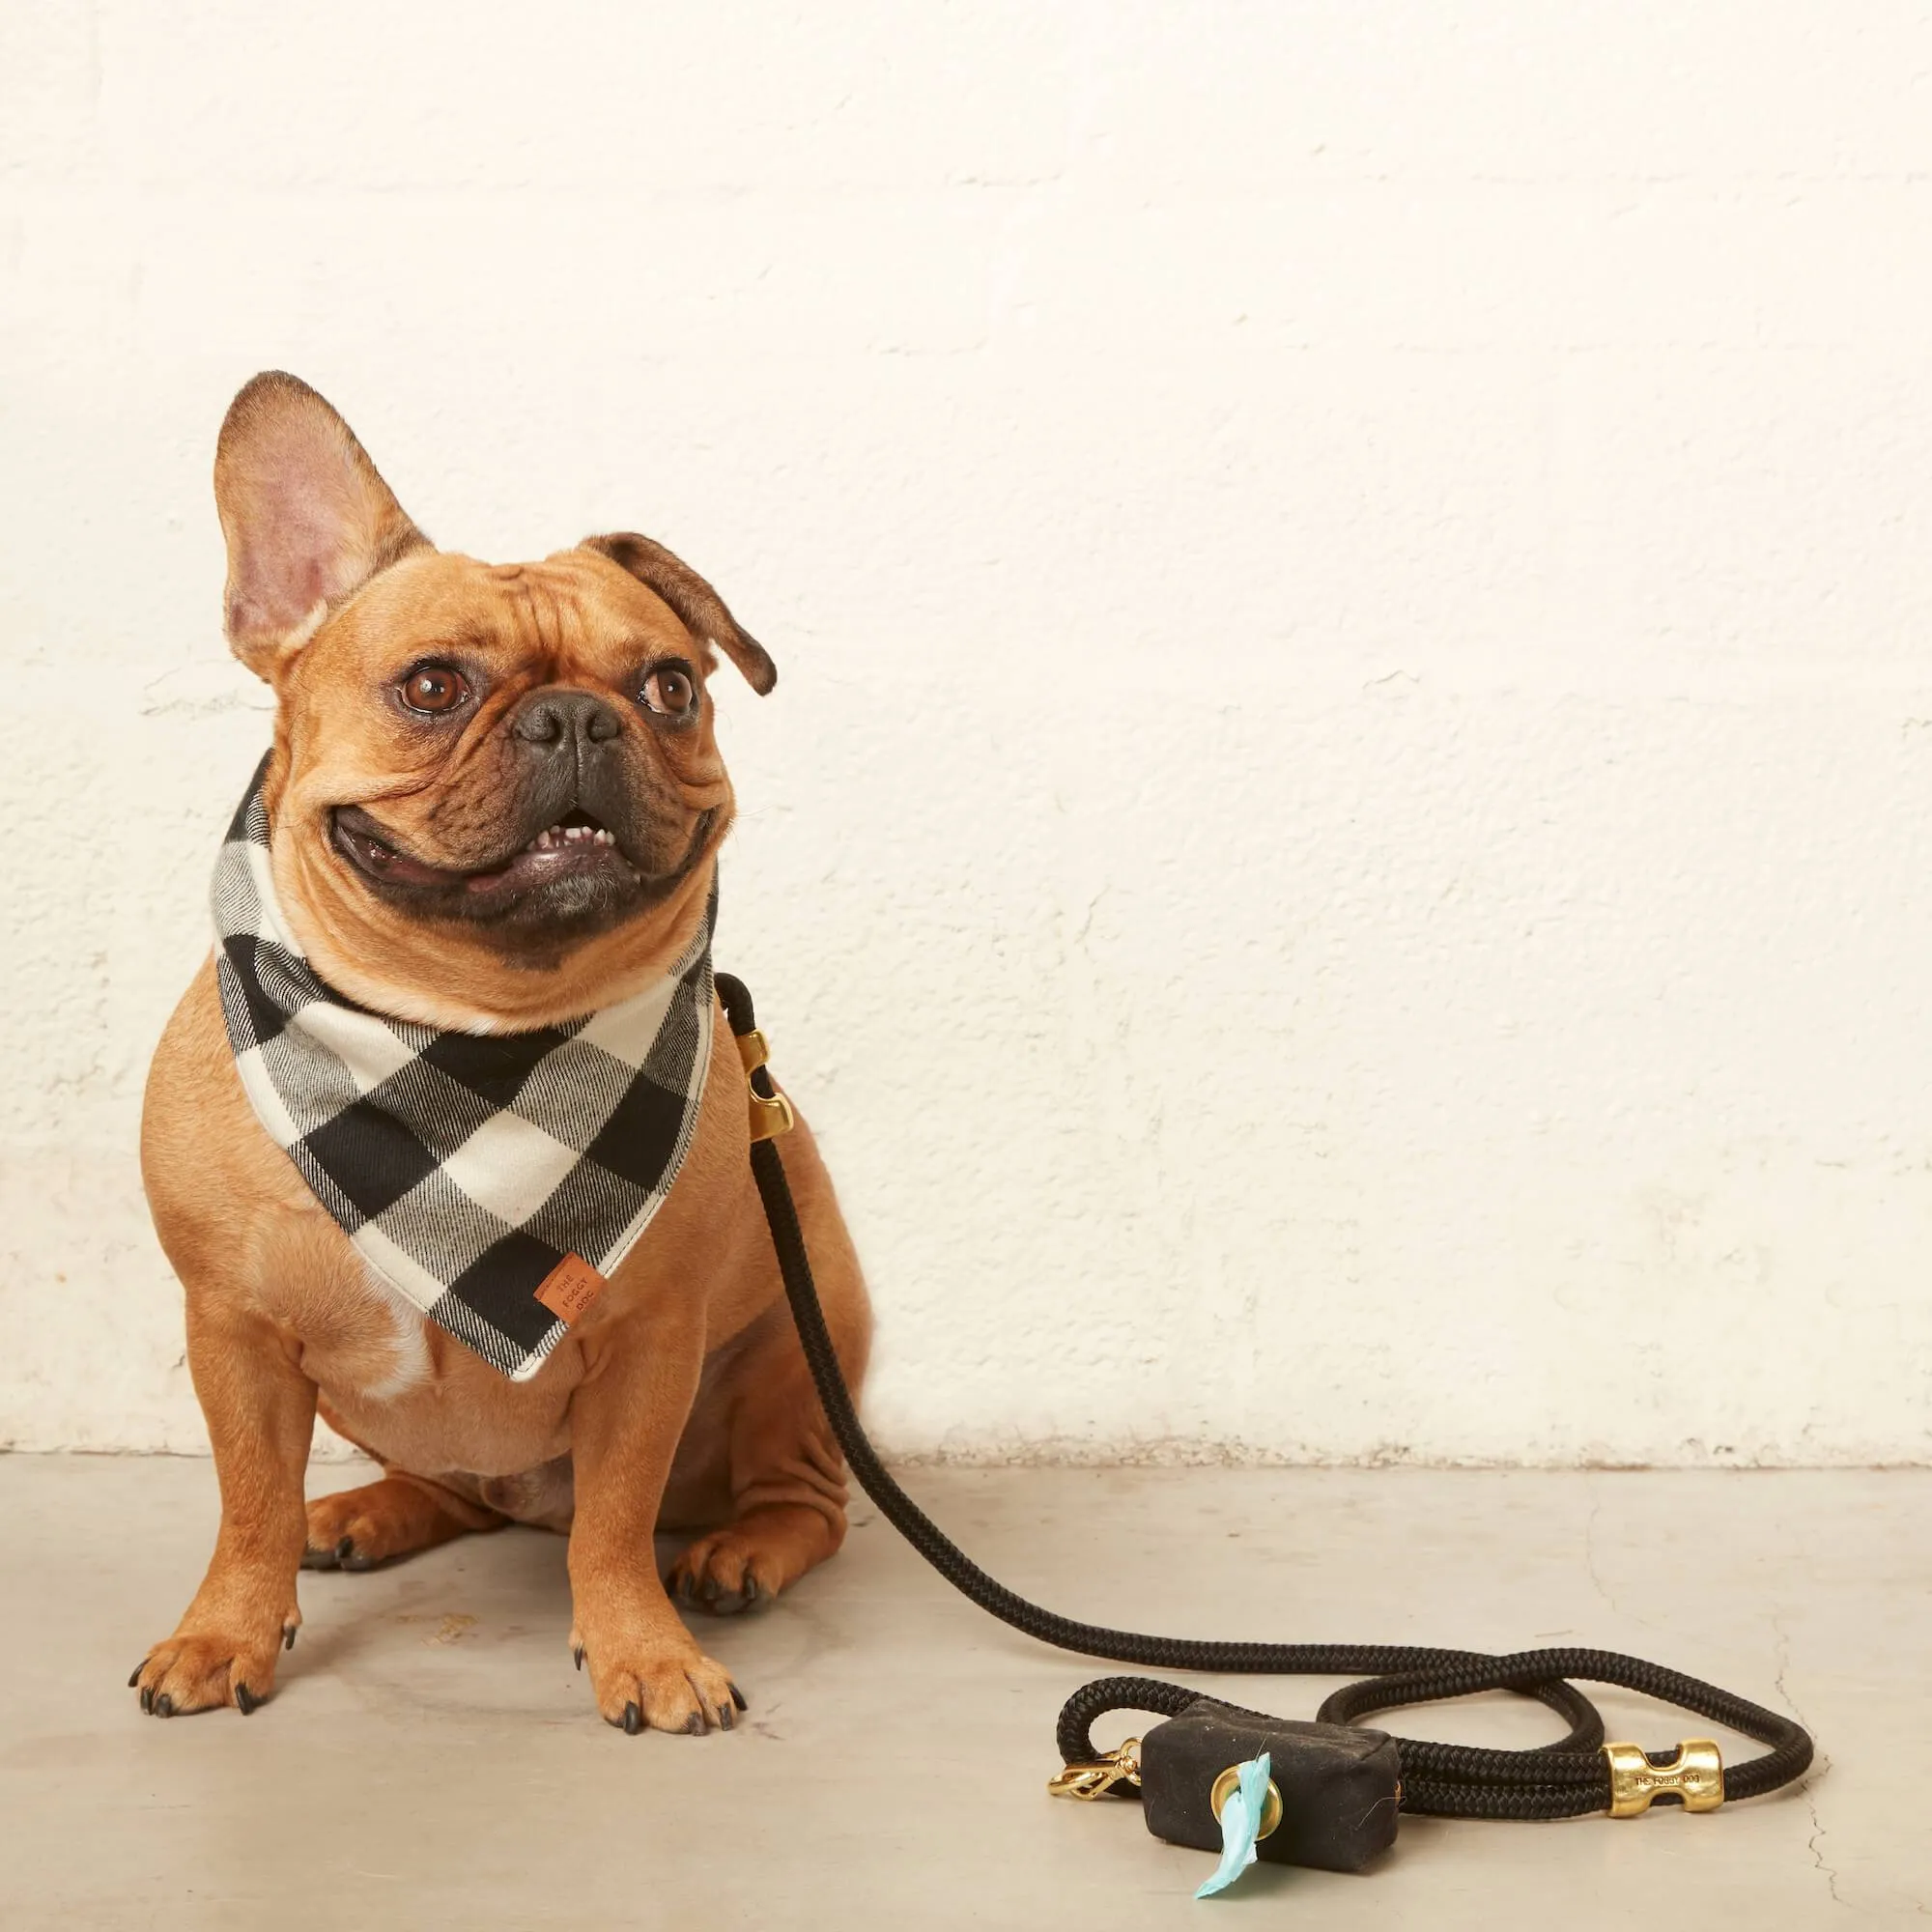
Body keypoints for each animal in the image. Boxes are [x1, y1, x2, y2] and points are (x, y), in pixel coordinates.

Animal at [140, 369, 881, 1731]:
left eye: (669, 687)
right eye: (432, 686)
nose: (576, 715)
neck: (460, 1046)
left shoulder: (651, 1345)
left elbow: (615, 1523)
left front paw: (644, 1652)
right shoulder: (235, 1332)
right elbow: (248, 1503)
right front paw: (225, 1630)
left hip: (789, 1363)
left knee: (795, 1500)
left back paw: (737, 1556)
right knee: (448, 1489)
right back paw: (366, 1512)